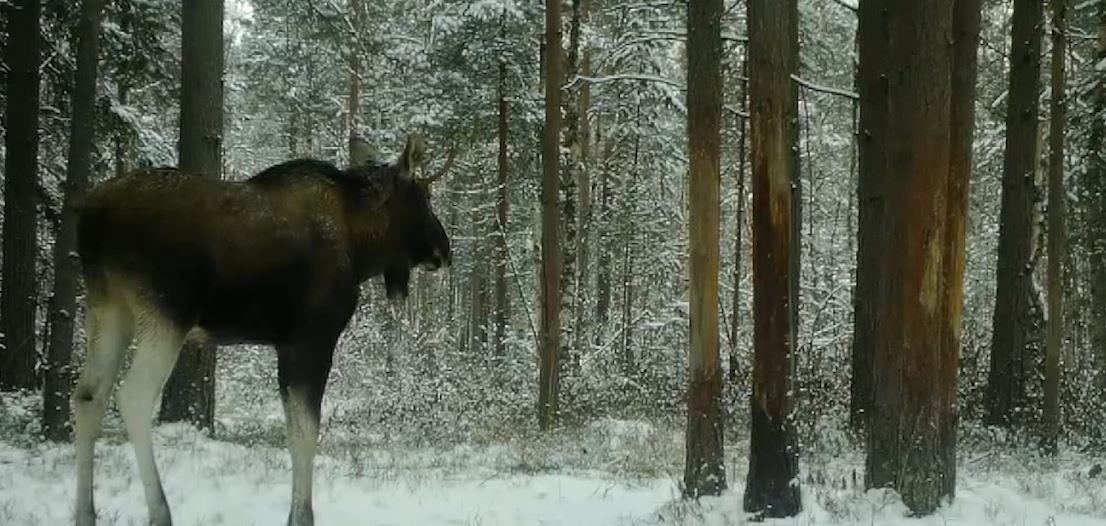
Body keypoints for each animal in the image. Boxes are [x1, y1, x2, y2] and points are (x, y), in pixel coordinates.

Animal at [70, 135, 453, 526]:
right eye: (423, 196)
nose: (444, 250)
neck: (362, 245)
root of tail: (92, 216)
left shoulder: (286, 345)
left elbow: (295, 429)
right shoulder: (310, 340)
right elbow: (305, 433)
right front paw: (301, 516)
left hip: (109, 309)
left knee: (88, 395)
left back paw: (85, 513)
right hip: (165, 315)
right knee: (132, 397)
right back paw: (160, 512)